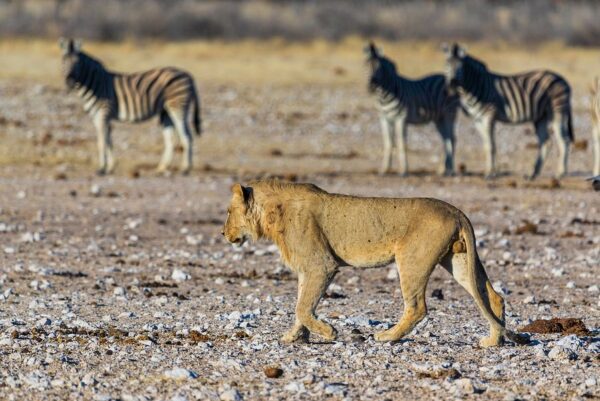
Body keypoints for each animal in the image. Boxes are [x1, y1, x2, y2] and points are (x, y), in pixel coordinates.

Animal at [59, 38, 203, 174]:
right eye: (63, 61)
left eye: (77, 63)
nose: (69, 81)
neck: (95, 83)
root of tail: (188, 75)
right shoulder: (98, 116)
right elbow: (108, 141)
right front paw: (111, 167)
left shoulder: (102, 114)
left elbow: (101, 141)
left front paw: (101, 169)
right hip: (165, 112)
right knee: (170, 139)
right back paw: (161, 168)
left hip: (178, 107)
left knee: (187, 136)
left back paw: (185, 169)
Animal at [220, 180, 524, 346]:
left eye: (228, 211)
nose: (223, 234)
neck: (272, 215)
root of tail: (457, 211)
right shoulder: (308, 269)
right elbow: (301, 305)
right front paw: (294, 336)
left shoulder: (321, 265)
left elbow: (302, 306)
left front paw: (328, 332)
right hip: (458, 260)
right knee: (493, 297)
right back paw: (493, 340)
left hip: (410, 260)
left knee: (417, 307)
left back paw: (387, 336)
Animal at [366, 41, 460, 177]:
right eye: (365, 65)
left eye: (379, 68)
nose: (371, 86)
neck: (384, 95)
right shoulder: (384, 118)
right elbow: (388, 142)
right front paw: (384, 170)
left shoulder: (401, 119)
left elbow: (401, 143)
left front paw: (403, 171)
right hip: (439, 119)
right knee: (446, 139)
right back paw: (442, 169)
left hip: (449, 114)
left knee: (452, 138)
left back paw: (450, 170)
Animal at [442, 43, 576, 179]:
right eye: (446, 63)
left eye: (460, 66)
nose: (452, 84)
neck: (474, 88)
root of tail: (562, 79)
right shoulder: (478, 119)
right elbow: (486, 145)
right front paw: (490, 171)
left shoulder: (488, 116)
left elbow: (491, 146)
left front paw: (490, 173)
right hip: (541, 117)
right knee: (546, 142)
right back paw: (533, 173)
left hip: (558, 110)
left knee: (564, 140)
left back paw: (560, 173)